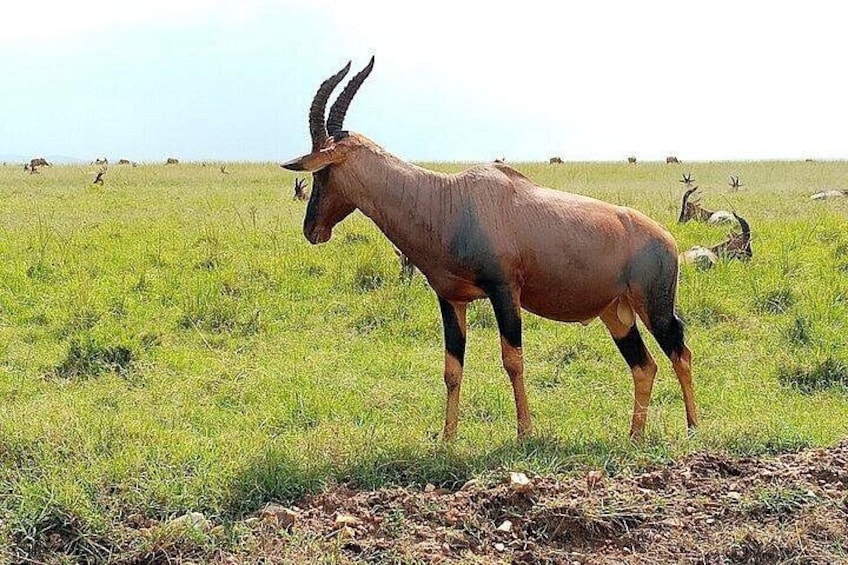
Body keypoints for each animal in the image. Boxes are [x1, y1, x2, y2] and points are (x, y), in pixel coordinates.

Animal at [280, 58, 697, 441]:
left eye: (323, 170)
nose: (312, 230)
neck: (449, 198)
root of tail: (667, 239)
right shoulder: (451, 299)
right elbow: (452, 368)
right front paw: (447, 439)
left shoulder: (504, 292)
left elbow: (513, 360)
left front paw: (525, 432)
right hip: (617, 314)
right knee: (644, 365)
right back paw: (634, 436)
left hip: (653, 307)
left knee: (680, 351)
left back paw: (693, 429)